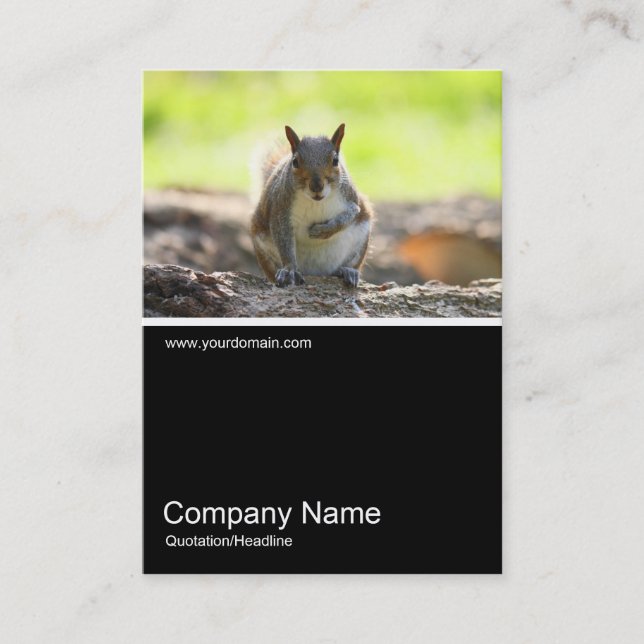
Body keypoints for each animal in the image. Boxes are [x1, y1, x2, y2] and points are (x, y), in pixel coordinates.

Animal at [251, 123, 373, 287]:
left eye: (335, 161)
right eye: (295, 162)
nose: (316, 186)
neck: (316, 201)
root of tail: (315, 273)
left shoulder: (352, 200)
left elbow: (349, 216)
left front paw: (322, 231)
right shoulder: (280, 209)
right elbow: (284, 242)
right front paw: (289, 269)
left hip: (361, 239)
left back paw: (346, 270)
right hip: (263, 248)